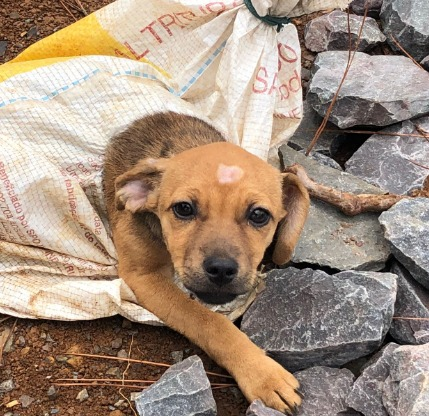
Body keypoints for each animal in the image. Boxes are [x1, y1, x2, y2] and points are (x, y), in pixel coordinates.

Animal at [103, 112, 310, 414]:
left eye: (259, 214)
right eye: (183, 208)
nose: (221, 269)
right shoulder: (143, 275)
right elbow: (210, 322)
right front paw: (262, 374)